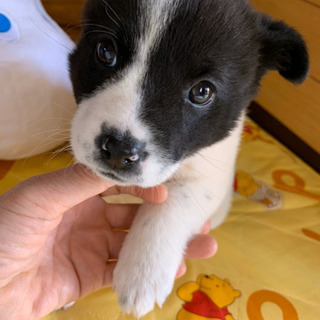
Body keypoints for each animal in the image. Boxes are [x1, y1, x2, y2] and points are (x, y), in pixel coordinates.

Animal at [69, 0, 308, 318]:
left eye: (202, 91)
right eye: (106, 52)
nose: (119, 151)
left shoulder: (212, 175)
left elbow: (173, 204)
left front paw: (141, 274)